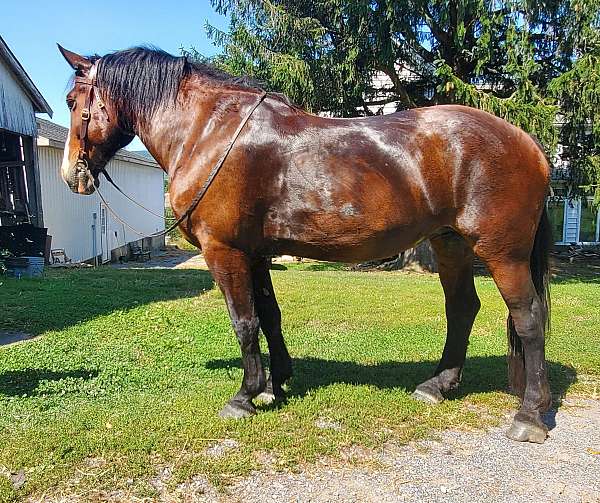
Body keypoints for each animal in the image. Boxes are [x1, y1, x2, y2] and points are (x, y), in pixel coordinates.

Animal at [57, 45, 552, 442]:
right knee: (463, 308)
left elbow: (244, 322)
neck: (209, 132)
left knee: (528, 318)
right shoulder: (256, 254)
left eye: (71, 102)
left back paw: (529, 416)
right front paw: (275, 385)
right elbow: (269, 316)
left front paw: (244, 396)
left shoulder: (224, 250)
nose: (70, 174)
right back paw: (437, 386)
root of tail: (528, 143)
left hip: (502, 253)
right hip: (450, 245)